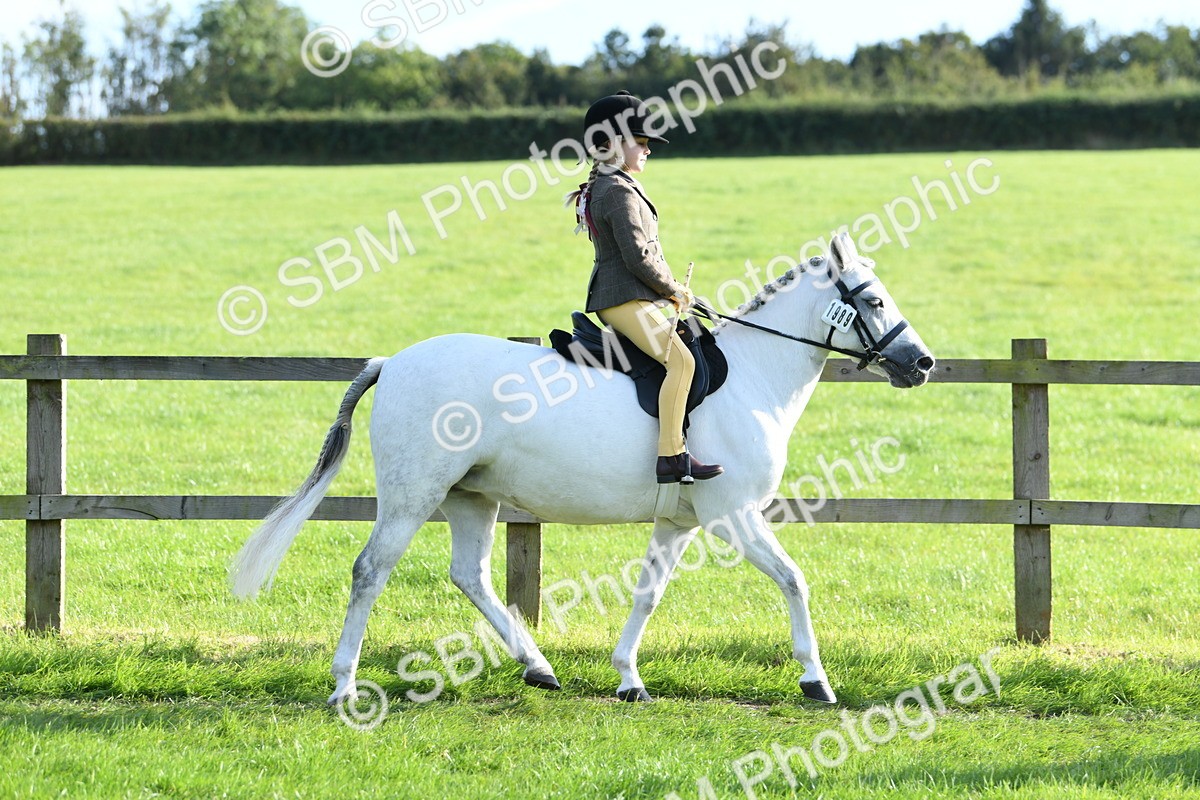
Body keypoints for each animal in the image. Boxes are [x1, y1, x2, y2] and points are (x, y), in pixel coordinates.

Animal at [231, 232, 935, 706]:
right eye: (872, 299)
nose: (922, 363)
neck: (754, 378)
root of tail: (393, 362)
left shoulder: (680, 522)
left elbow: (648, 593)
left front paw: (628, 678)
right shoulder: (733, 515)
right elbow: (794, 580)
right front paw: (816, 680)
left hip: (470, 496)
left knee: (470, 575)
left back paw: (538, 667)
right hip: (413, 495)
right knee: (370, 571)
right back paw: (344, 687)